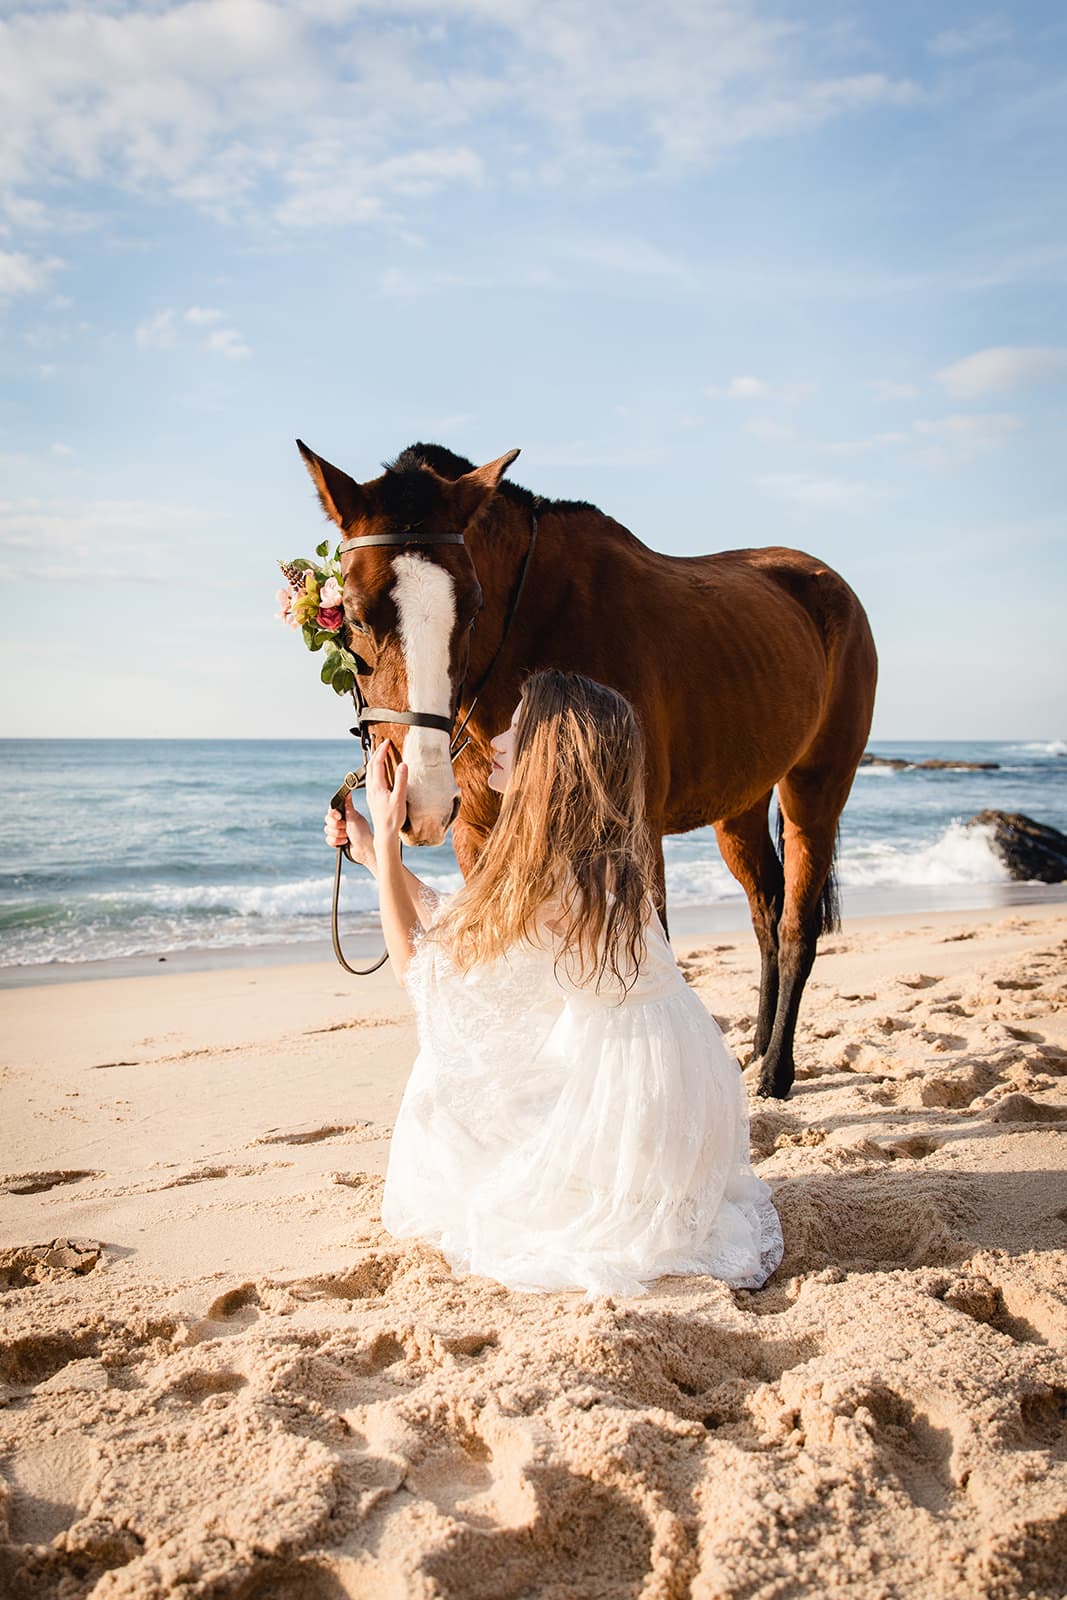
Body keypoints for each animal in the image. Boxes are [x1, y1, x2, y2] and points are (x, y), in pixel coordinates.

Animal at [299, 435, 876, 1100]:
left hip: (816, 791)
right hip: (740, 810)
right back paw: (756, 1049)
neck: (530, 631)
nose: (422, 799)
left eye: (471, 608)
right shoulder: (477, 834)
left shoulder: (635, 834)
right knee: (766, 914)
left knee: (796, 928)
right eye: (355, 614)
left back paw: (776, 1072)